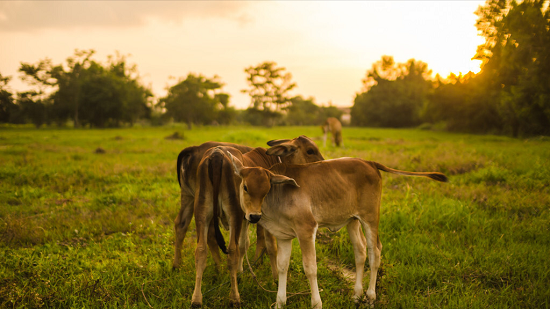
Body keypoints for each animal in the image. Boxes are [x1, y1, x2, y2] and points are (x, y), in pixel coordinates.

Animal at [229, 155, 448, 306]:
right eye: (245, 187)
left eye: (266, 190)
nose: (254, 216)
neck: (278, 198)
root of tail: (369, 162)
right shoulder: (283, 236)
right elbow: (283, 267)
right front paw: (280, 302)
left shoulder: (307, 229)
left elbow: (310, 268)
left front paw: (316, 303)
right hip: (352, 220)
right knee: (360, 251)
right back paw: (356, 295)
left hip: (370, 217)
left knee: (374, 251)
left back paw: (370, 296)